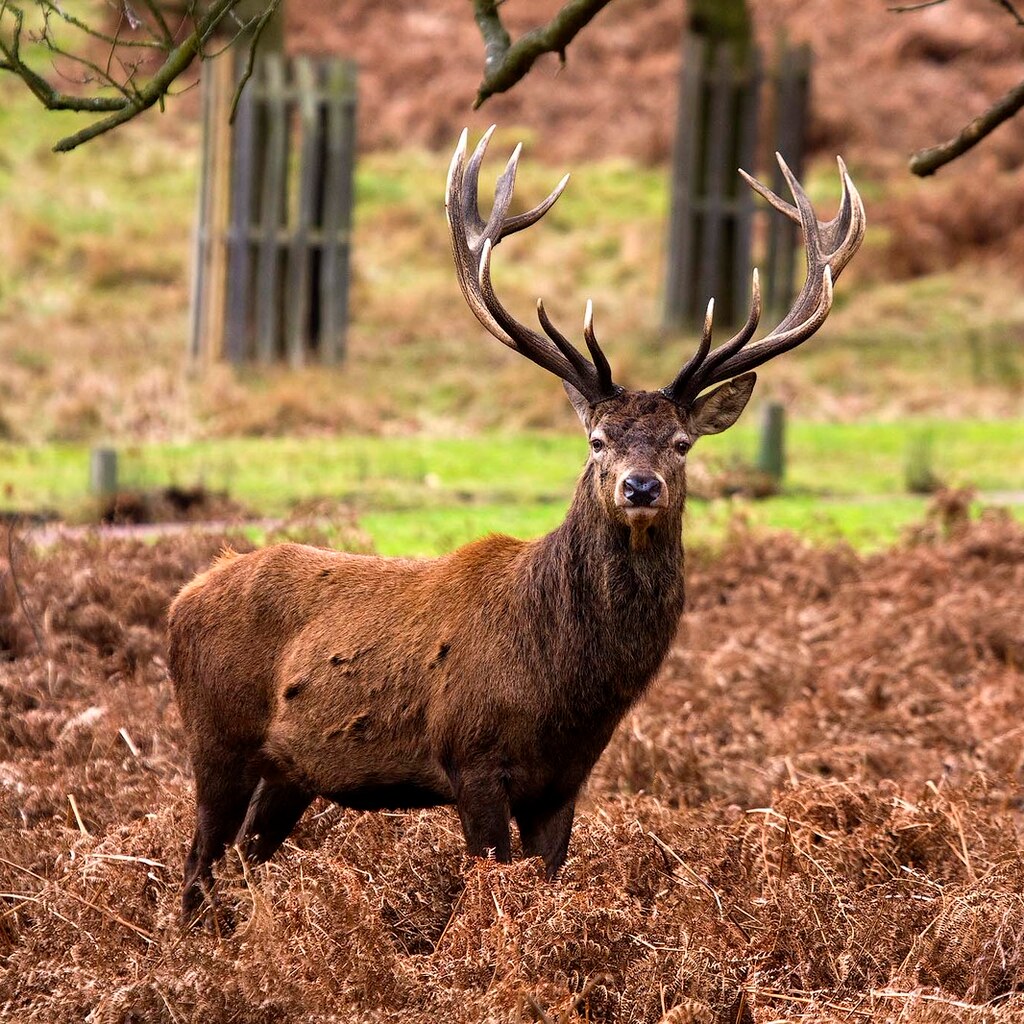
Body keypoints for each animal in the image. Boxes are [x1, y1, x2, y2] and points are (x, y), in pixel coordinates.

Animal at [168, 126, 864, 925]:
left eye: (682, 443)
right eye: (597, 438)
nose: (641, 486)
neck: (565, 687)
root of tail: (183, 596)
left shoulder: (564, 782)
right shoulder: (473, 760)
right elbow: (487, 887)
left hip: (290, 772)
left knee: (239, 861)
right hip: (217, 738)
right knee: (197, 864)